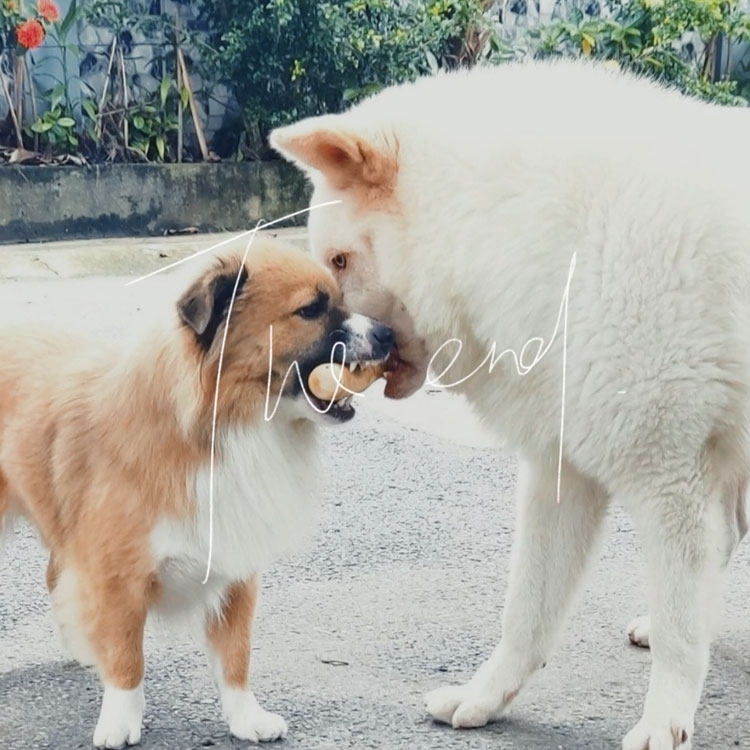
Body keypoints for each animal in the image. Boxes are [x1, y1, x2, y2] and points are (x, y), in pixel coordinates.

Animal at [274, 60, 750, 750]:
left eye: (340, 260)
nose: (321, 361)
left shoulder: (671, 482)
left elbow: (682, 635)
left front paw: (665, 720)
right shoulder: (563, 471)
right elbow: (527, 612)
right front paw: (485, 697)